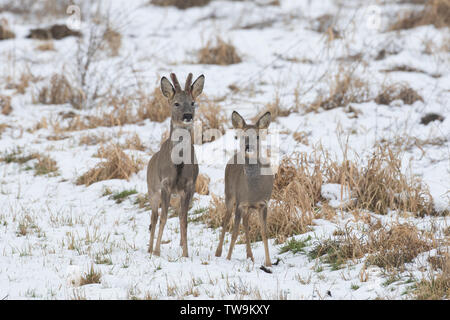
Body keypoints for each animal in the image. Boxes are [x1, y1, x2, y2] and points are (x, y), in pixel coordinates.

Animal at [147, 72, 205, 258]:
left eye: (193, 102)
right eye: (176, 103)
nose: (188, 116)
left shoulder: (189, 185)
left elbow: (184, 219)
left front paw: (186, 253)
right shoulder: (165, 183)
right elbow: (164, 217)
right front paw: (157, 251)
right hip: (152, 189)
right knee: (153, 217)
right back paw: (149, 248)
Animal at [215, 111, 274, 266]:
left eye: (258, 136)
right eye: (242, 136)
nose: (248, 146)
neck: (253, 190)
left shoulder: (263, 203)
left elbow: (264, 232)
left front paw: (269, 263)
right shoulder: (240, 203)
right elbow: (234, 233)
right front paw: (228, 258)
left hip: (248, 207)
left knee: (246, 223)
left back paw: (250, 256)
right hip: (229, 195)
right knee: (225, 220)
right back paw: (218, 253)